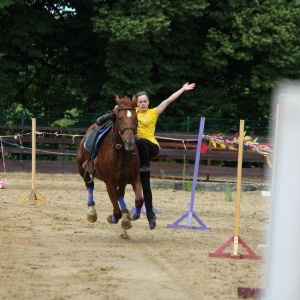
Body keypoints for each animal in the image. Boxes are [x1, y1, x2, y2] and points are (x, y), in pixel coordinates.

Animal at [76, 96, 144, 230]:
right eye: (120, 118)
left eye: (136, 118)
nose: (129, 142)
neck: (121, 153)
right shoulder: (109, 182)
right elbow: (116, 212)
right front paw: (112, 218)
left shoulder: (135, 177)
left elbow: (139, 200)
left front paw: (131, 216)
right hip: (82, 168)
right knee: (89, 184)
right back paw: (91, 212)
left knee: (120, 194)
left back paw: (125, 218)